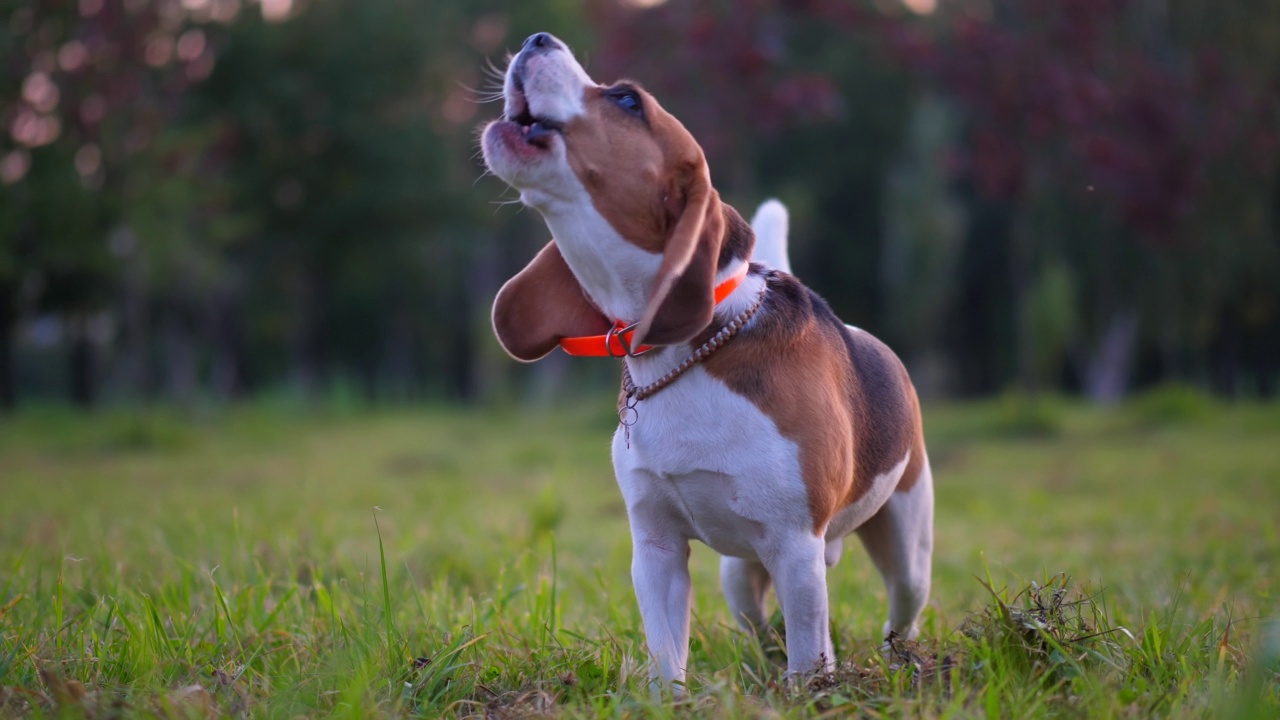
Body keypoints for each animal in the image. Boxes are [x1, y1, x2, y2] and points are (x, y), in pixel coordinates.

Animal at [481, 32, 931, 681]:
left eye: (627, 100)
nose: (537, 39)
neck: (680, 356)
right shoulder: (656, 547)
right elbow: (667, 654)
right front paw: (668, 693)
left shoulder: (796, 547)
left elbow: (808, 658)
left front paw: (812, 692)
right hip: (738, 576)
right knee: (764, 627)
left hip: (905, 543)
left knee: (901, 613)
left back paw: (902, 663)